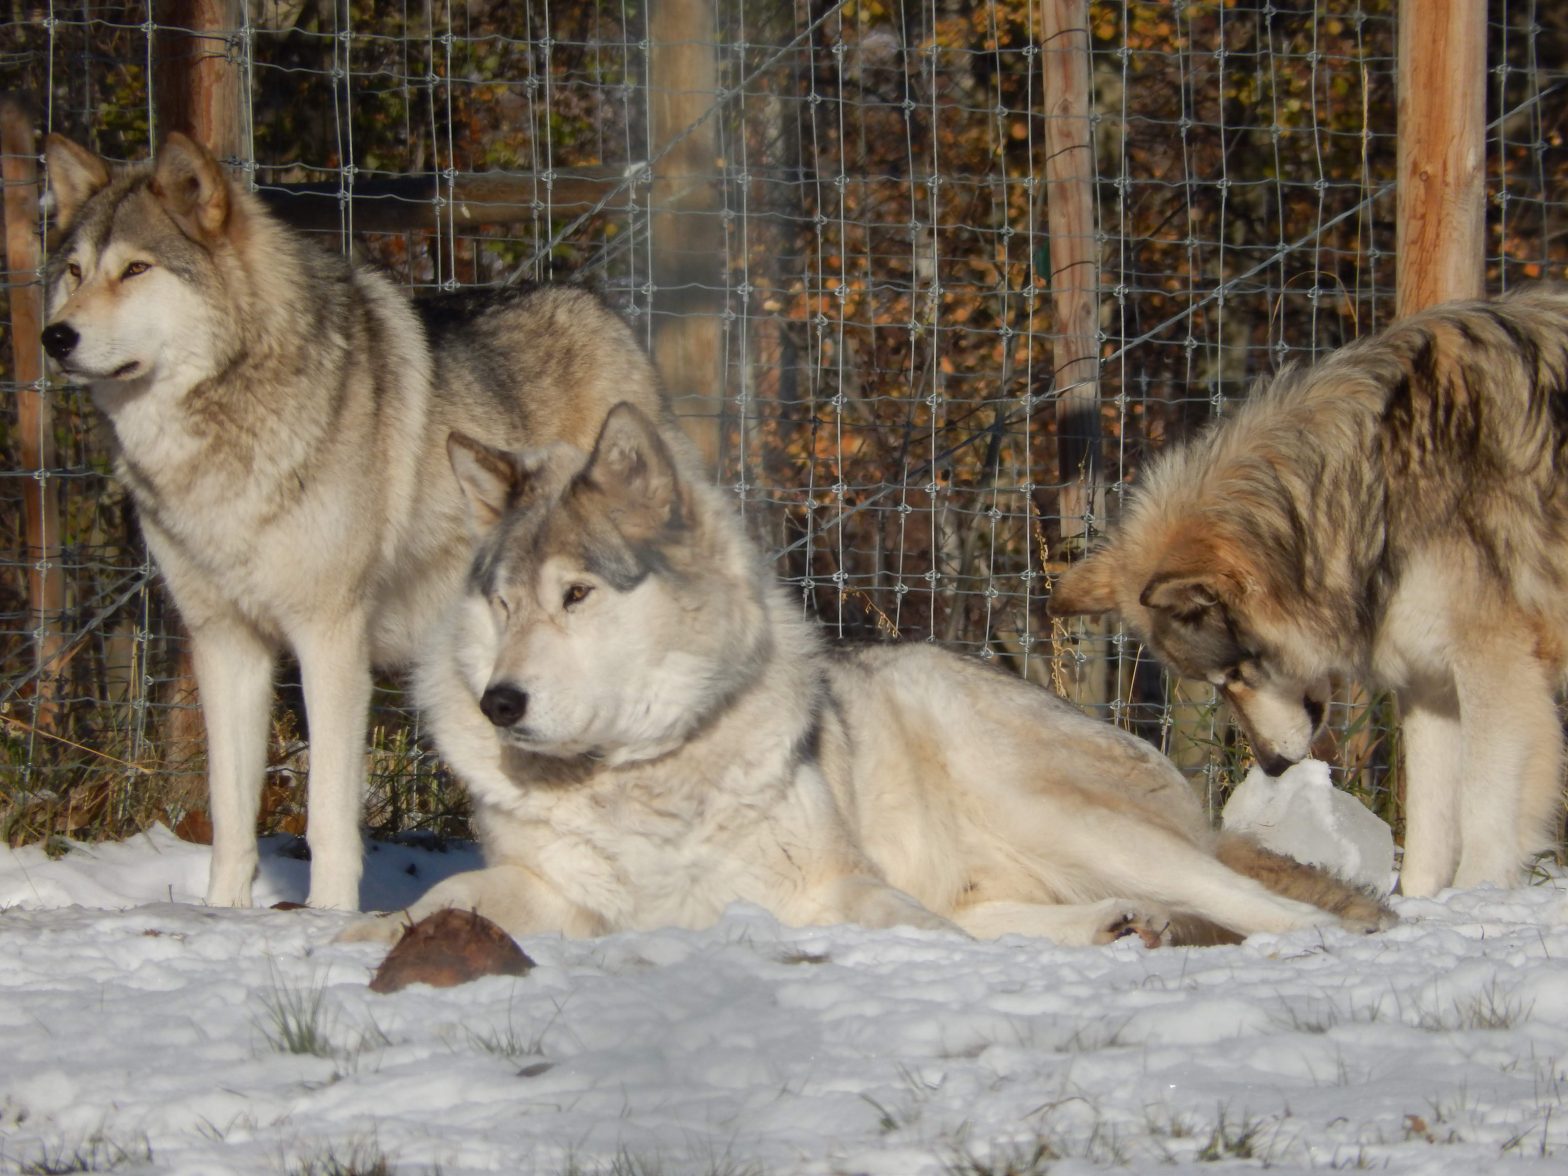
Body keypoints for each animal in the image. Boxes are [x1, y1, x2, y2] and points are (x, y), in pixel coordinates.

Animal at [41, 135, 667, 909]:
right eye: (74, 271)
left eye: (135, 269)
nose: (54, 336)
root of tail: (594, 304)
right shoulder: (224, 642)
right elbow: (229, 811)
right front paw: (223, 914)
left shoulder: (329, 638)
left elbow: (329, 814)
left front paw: (328, 915)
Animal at [359, 404, 1398, 947]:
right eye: (502, 604)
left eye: (576, 594)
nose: (500, 703)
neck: (642, 780)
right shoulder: (553, 893)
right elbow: (439, 902)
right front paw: (368, 935)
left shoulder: (837, 890)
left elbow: (905, 931)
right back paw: (1115, 927)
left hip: (1050, 807)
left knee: (1256, 904)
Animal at [1047, 290, 1568, 896]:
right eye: (1218, 682)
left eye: (1238, 674)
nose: (1273, 766)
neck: (1368, 485)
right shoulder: (1428, 679)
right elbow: (1430, 821)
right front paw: (1419, 905)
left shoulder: (1494, 666)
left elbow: (1484, 806)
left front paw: (1475, 895)